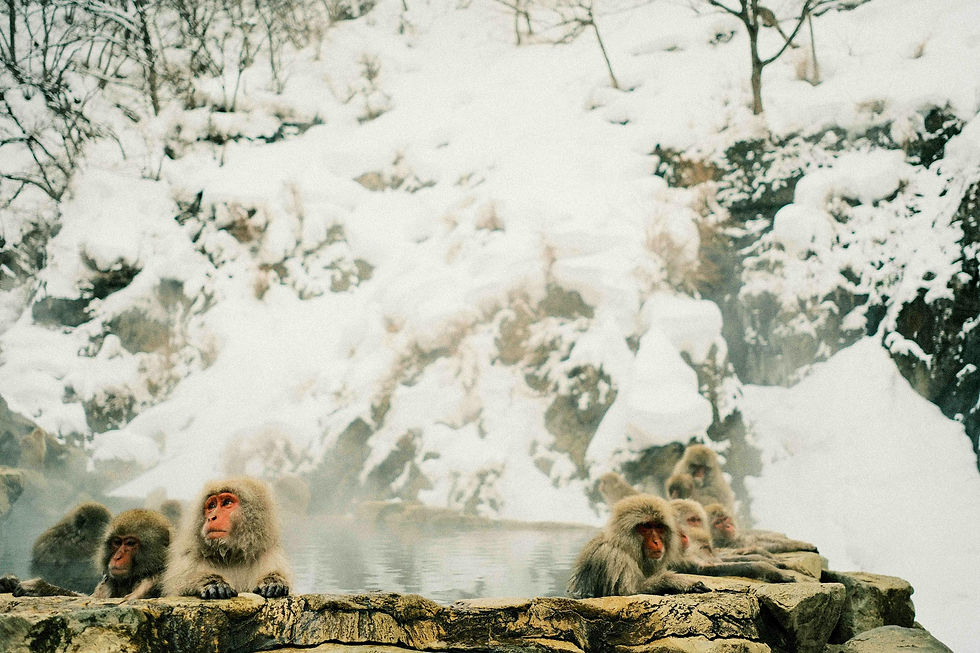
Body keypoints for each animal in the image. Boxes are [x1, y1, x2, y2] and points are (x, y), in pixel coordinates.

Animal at [567, 494, 709, 598]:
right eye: (646, 526)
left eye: (658, 526)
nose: (656, 541)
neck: (625, 547)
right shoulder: (613, 559)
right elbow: (629, 592)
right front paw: (675, 582)